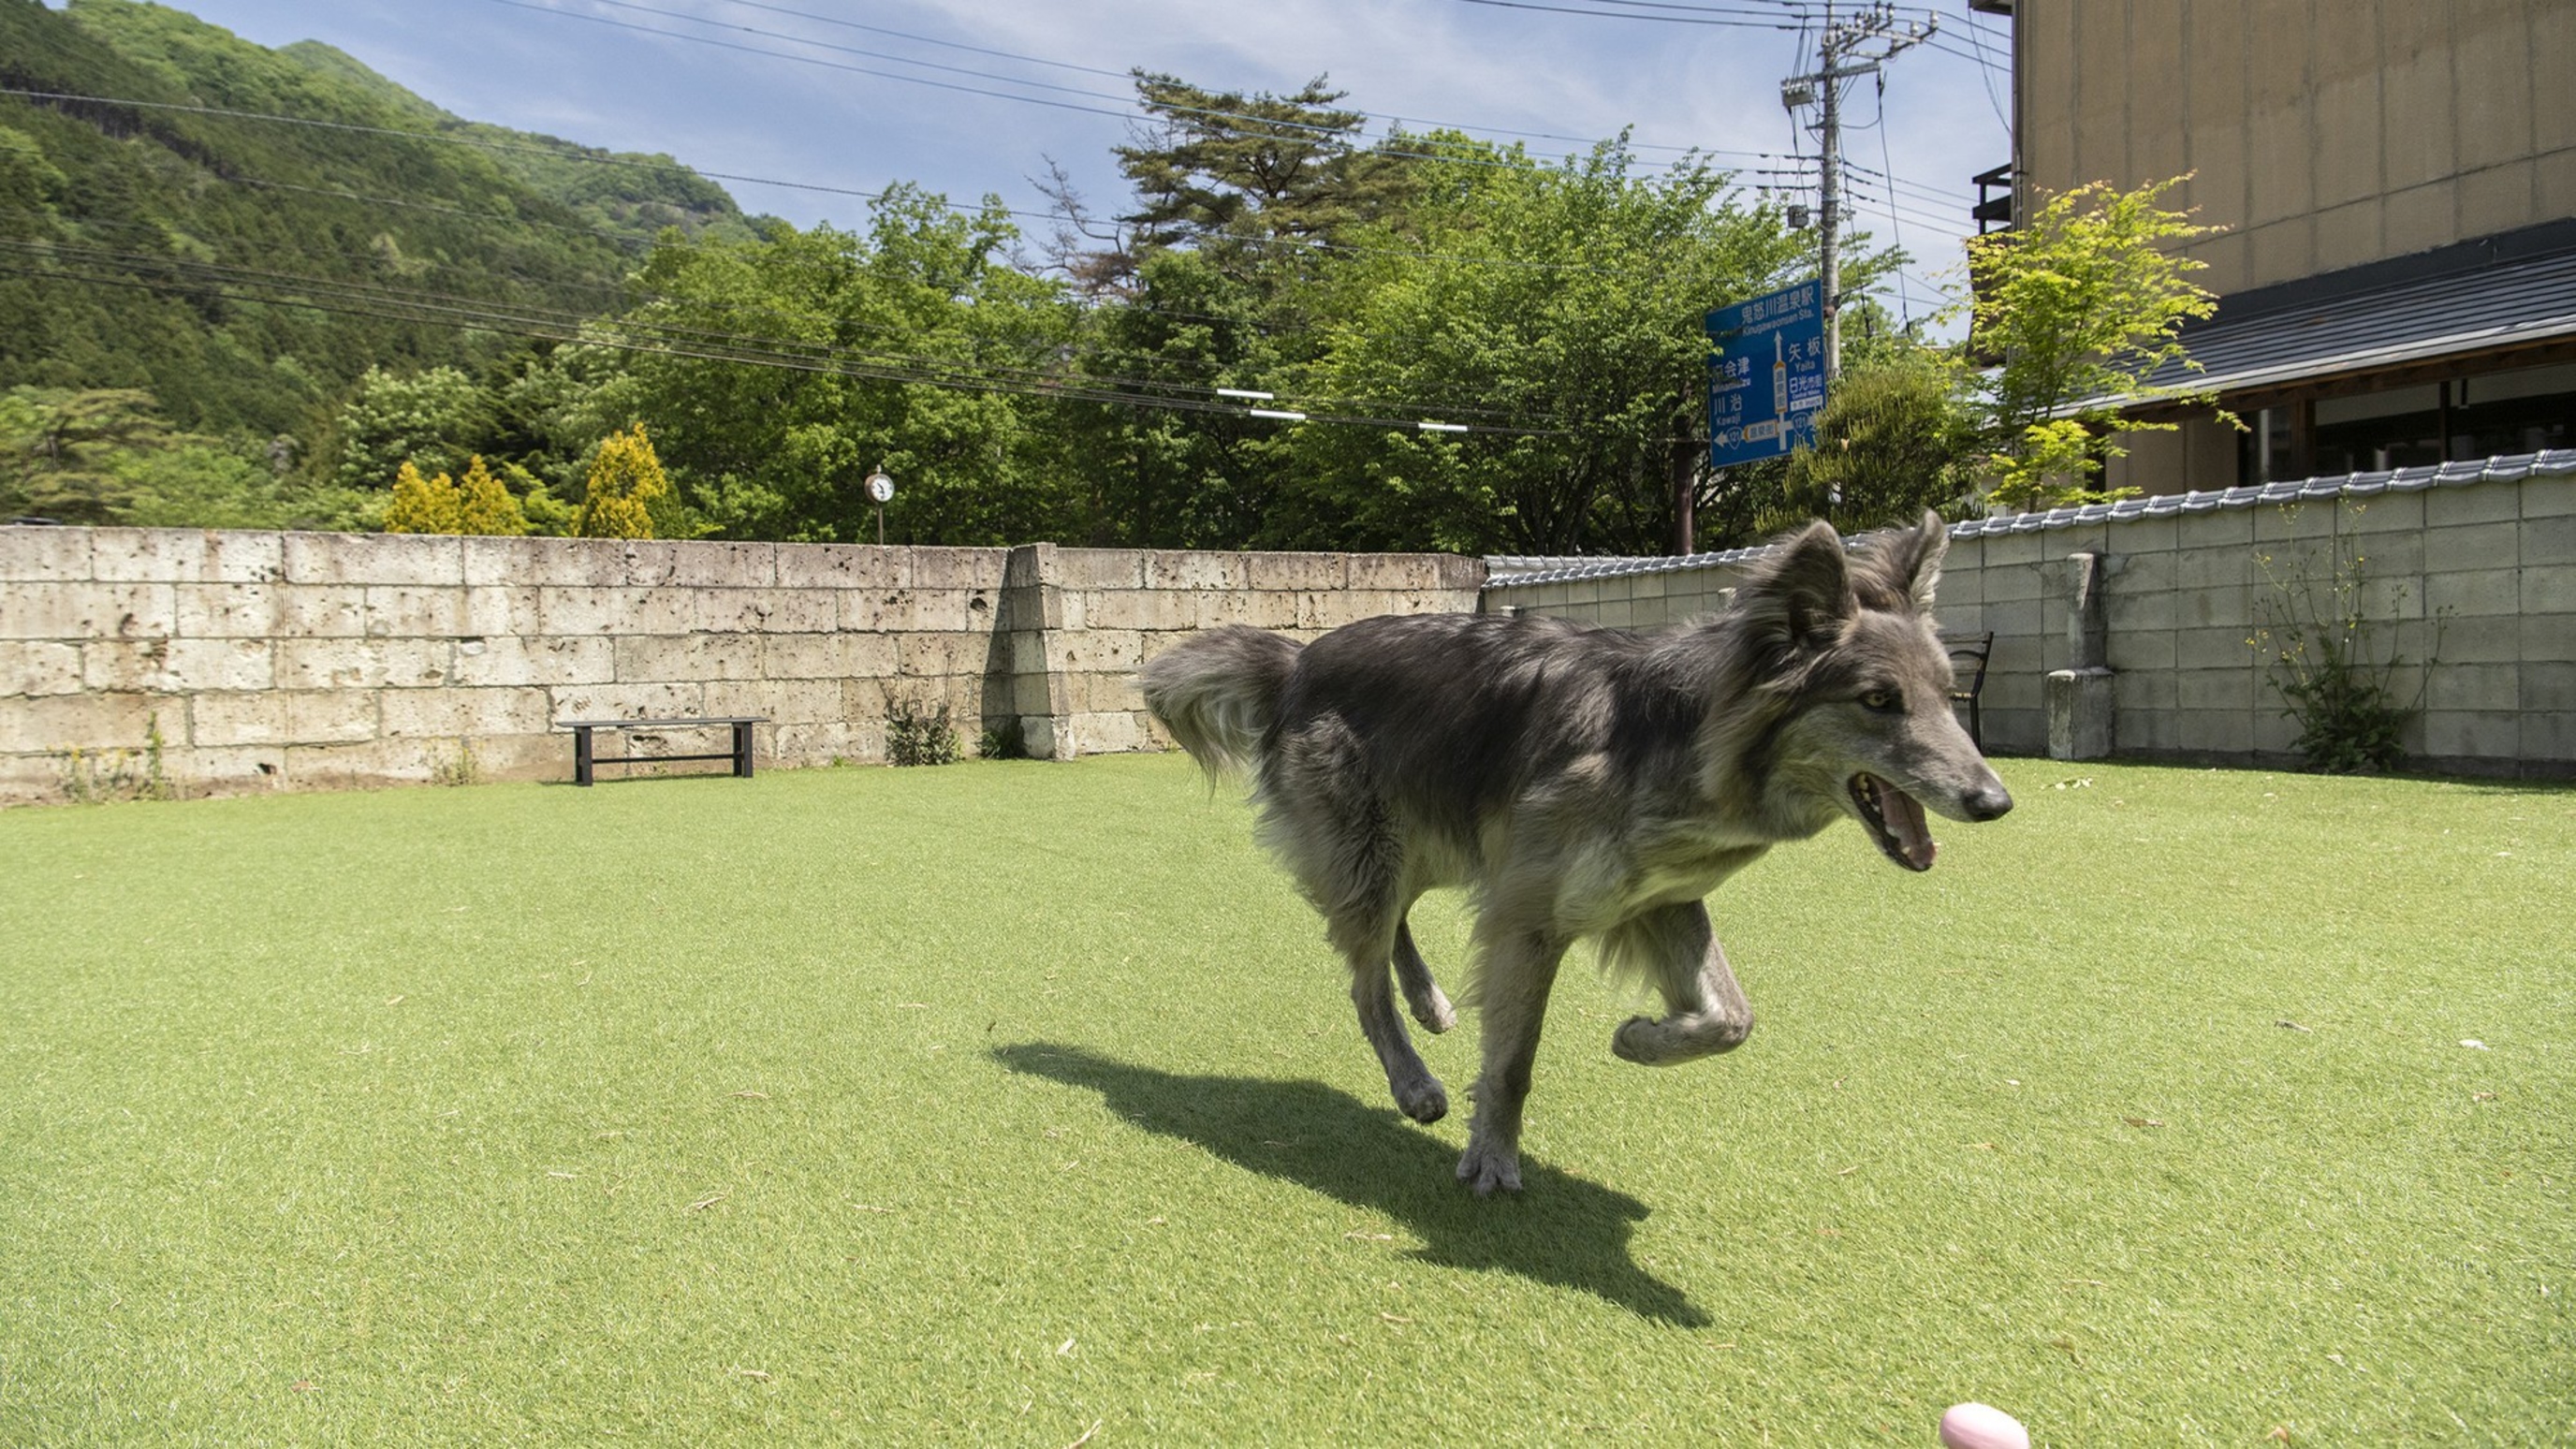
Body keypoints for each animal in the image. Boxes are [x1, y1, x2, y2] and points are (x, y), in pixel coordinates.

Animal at [1143, 513, 2009, 1191]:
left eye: (1945, 696)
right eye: (1878, 701)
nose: (1995, 803)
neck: (1683, 741)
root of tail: (1297, 662)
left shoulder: (1657, 898)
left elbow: (1733, 1019)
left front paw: (1642, 1038)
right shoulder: (1531, 917)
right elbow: (1513, 1063)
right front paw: (1493, 1162)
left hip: (1438, 844)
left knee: (1394, 931)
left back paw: (1430, 1002)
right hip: (1377, 851)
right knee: (1364, 984)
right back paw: (1413, 1081)